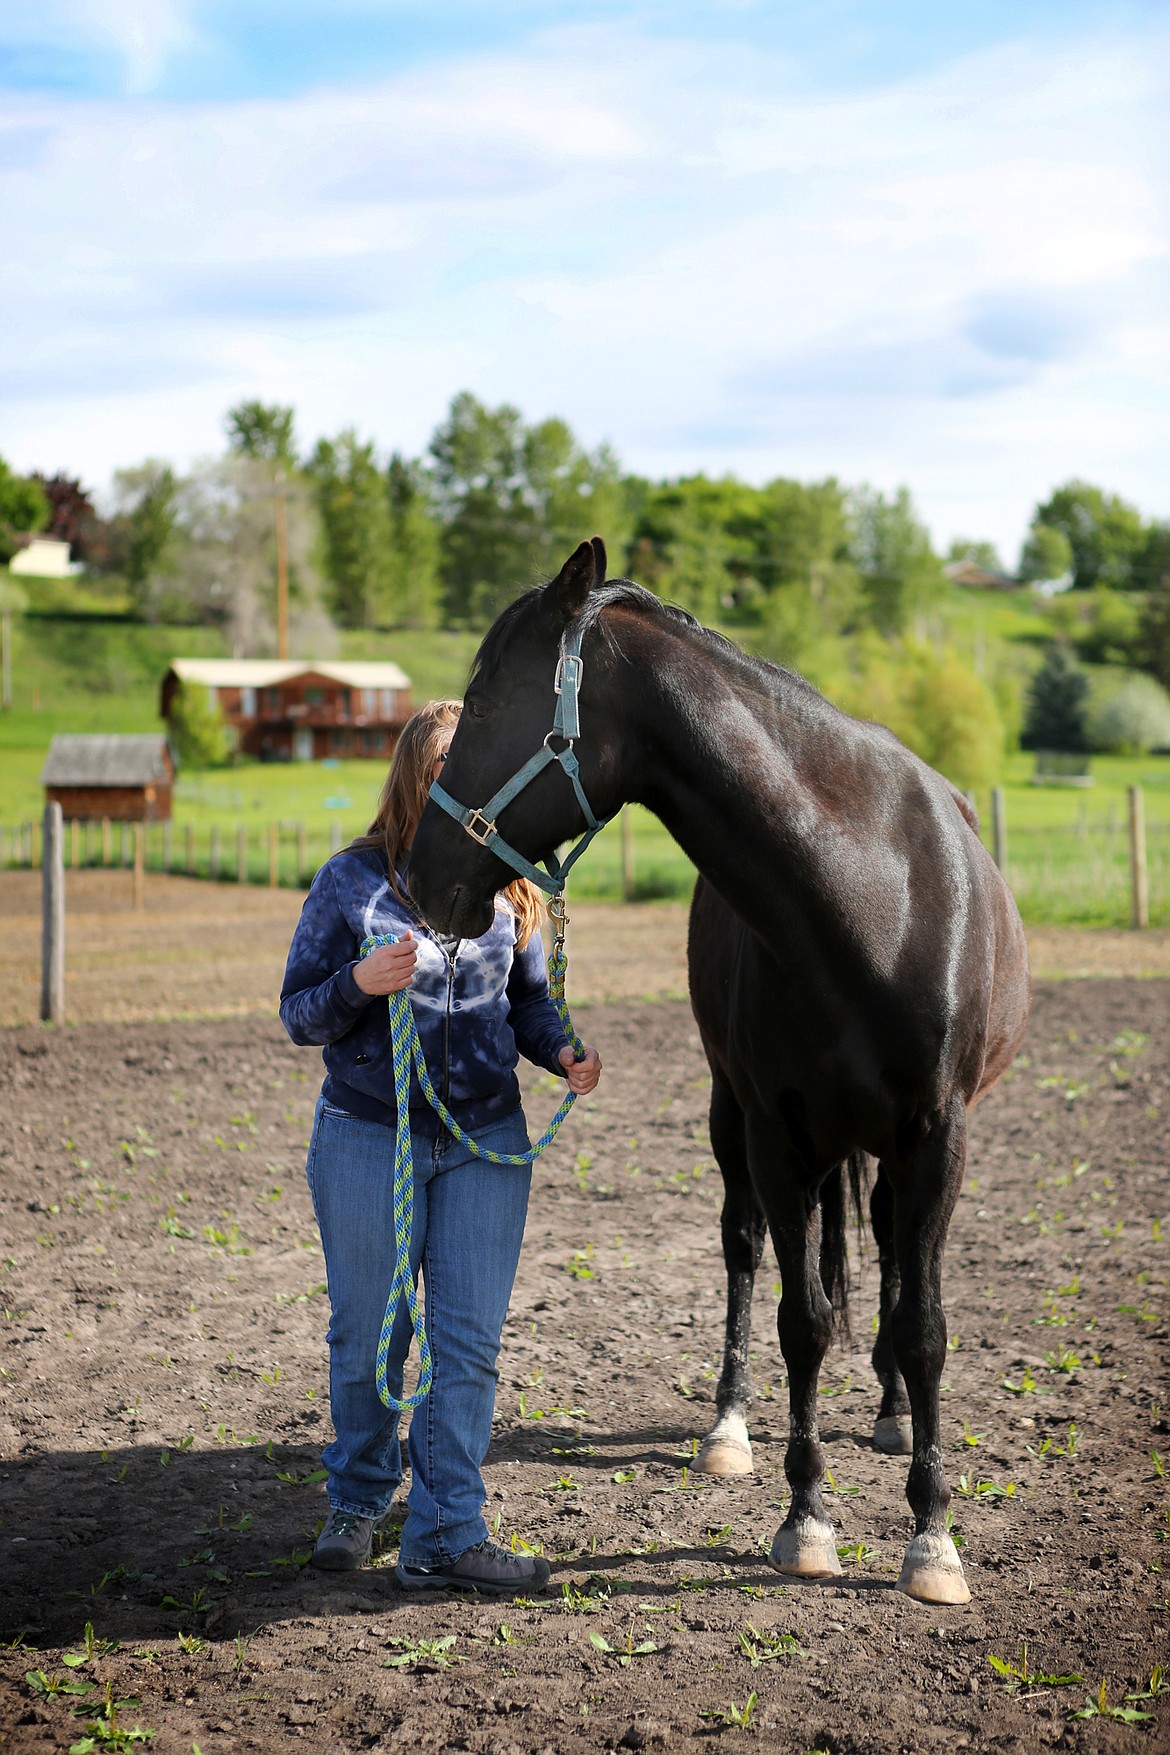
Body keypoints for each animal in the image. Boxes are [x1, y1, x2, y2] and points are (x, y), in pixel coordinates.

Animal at [406, 533, 1031, 1607]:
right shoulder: (779, 1132)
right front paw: (807, 1516)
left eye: (483, 703)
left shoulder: (937, 1136)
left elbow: (924, 1324)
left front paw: (933, 1534)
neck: (868, 898)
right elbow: (800, 1316)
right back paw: (732, 1424)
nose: (419, 871)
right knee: (746, 1248)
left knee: (888, 1254)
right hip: (732, 1116)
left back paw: (892, 1412)